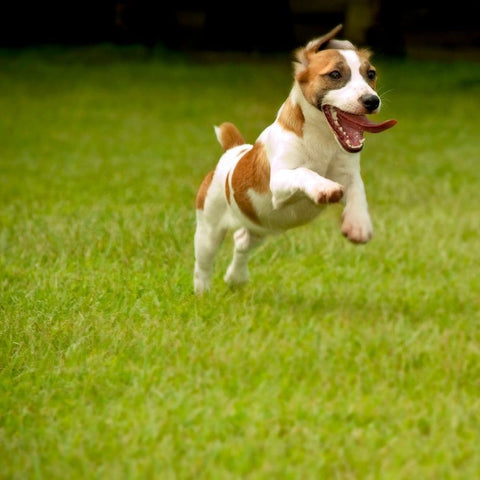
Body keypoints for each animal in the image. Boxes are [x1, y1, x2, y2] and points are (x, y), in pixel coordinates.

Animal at [193, 26, 396, 294]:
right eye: (335, 74)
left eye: (371, 74)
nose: (372, 101)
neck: (323, 140)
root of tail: (232, 150)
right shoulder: (278, 184)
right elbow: (304, 172)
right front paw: (323, 187)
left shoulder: (349, 174)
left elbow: (357, 191)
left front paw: (358, 224)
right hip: (209, 227)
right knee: (203, 263)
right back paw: (202, 293)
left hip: (261, 225)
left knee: (242, 241)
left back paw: (236, 278)